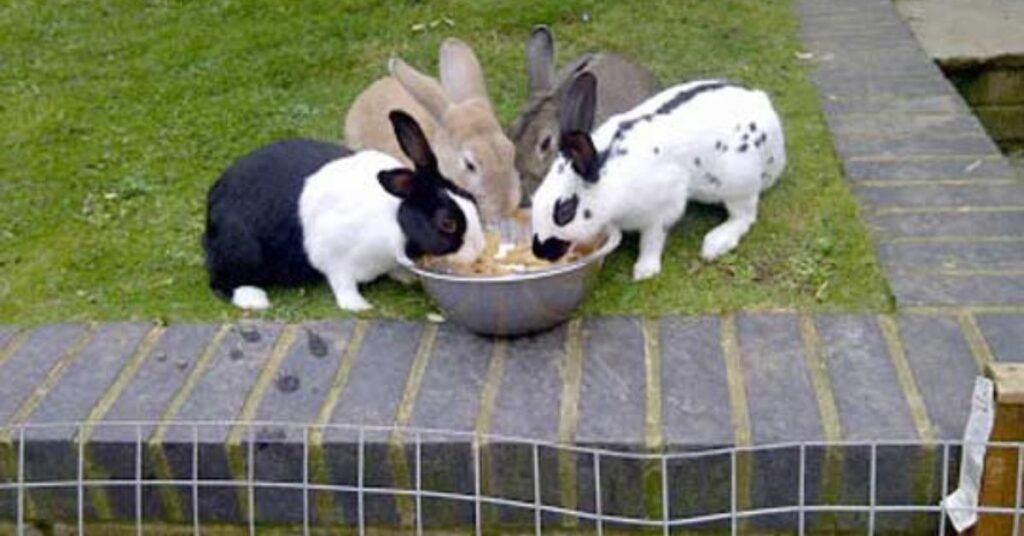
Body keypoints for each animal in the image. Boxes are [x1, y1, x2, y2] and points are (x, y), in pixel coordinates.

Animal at [203, 111, 486, 311]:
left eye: (471, 198)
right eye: (447, 223)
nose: (479, 250)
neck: (394, 218)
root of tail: (214, 199)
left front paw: (406, 278)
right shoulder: (333, 256)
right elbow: (342, 284)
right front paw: (359, 307)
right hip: (240, 249)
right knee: (220, 282)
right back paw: (254, 299)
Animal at [531, 72, 786, 281]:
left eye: (564, 212)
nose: (539, 251)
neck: (611, 178)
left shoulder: (662, 209)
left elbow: (652, 241)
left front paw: (644, 271)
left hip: (738, 183)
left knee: (744, 217)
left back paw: (714, 243)